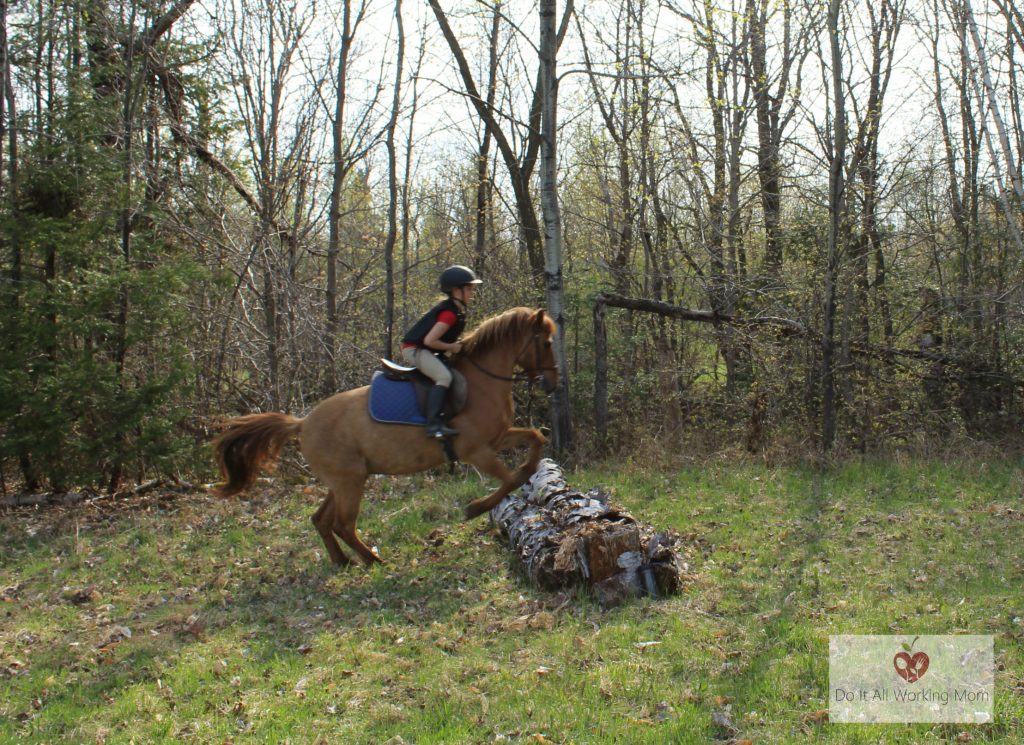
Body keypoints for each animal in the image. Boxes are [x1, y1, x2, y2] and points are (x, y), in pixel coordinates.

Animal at [210, 304, 557, 568]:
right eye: (546, 343)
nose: (552, 382)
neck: (481, 381)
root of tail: (303, 423)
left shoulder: (497, 438)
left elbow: (536, 439)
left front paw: (529, 472)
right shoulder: (476, 450)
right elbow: (508, 480)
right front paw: (475, 508)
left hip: (343, 481)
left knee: (321, 520)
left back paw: (344, 561)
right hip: (349, 481)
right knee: (343, 524)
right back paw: (373, 560)